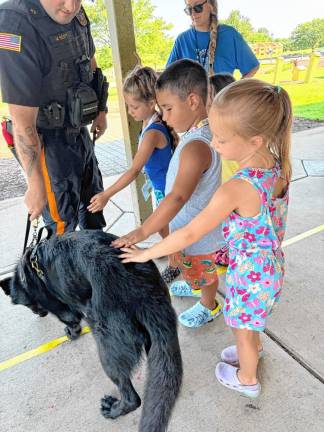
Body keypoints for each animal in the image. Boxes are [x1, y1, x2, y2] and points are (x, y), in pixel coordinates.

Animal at [0, 231, 182, 430]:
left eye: (28, 304)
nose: (38, 313)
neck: (30, 267)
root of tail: (143, 292)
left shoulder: (60, 304)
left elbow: (70, 319)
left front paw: (71, 332)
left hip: (107, 346)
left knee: (132, 398)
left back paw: (114, 409)